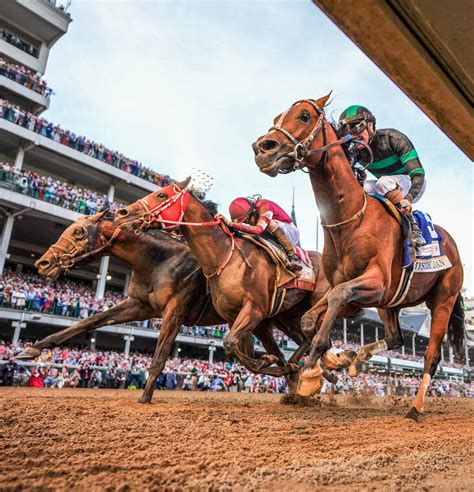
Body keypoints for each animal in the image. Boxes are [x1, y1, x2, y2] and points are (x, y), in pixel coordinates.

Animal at [18, 211, 322, 400]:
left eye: (79, 232)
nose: (43, 262)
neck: (159, 259)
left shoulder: (175, 310)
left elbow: (160, 355)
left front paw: (144, 396)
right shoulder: (139, 305)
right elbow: (88, 322)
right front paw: (32, 348)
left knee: (307, 341)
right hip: (273, 319)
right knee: (294, 346)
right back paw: (294, 377)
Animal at [114, 182, 336, 384]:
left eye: (161, 195)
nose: (122, 213)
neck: (224, 257)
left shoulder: (254, 310)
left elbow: (230, 344)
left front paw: (270, 362)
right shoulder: (233, 315)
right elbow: (236, 349)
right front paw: (271, 362)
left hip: (313, 304)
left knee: (318, 337)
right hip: (288, 315)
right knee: (309, 339)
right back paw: (309, 369)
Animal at [254, 95, 464, 418]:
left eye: (304, 116)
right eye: (278, 117)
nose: (263, 148)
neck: (349, 218)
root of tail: (452, 244)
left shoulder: (374, 283)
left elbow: (336, 299)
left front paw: (311, 374)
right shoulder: (358, 294)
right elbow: (310, 319)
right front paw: (335, 360)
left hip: (443, 299)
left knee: (432, 355)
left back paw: (415, 408)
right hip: (391, 303)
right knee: (396, 337)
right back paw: (355, 358)